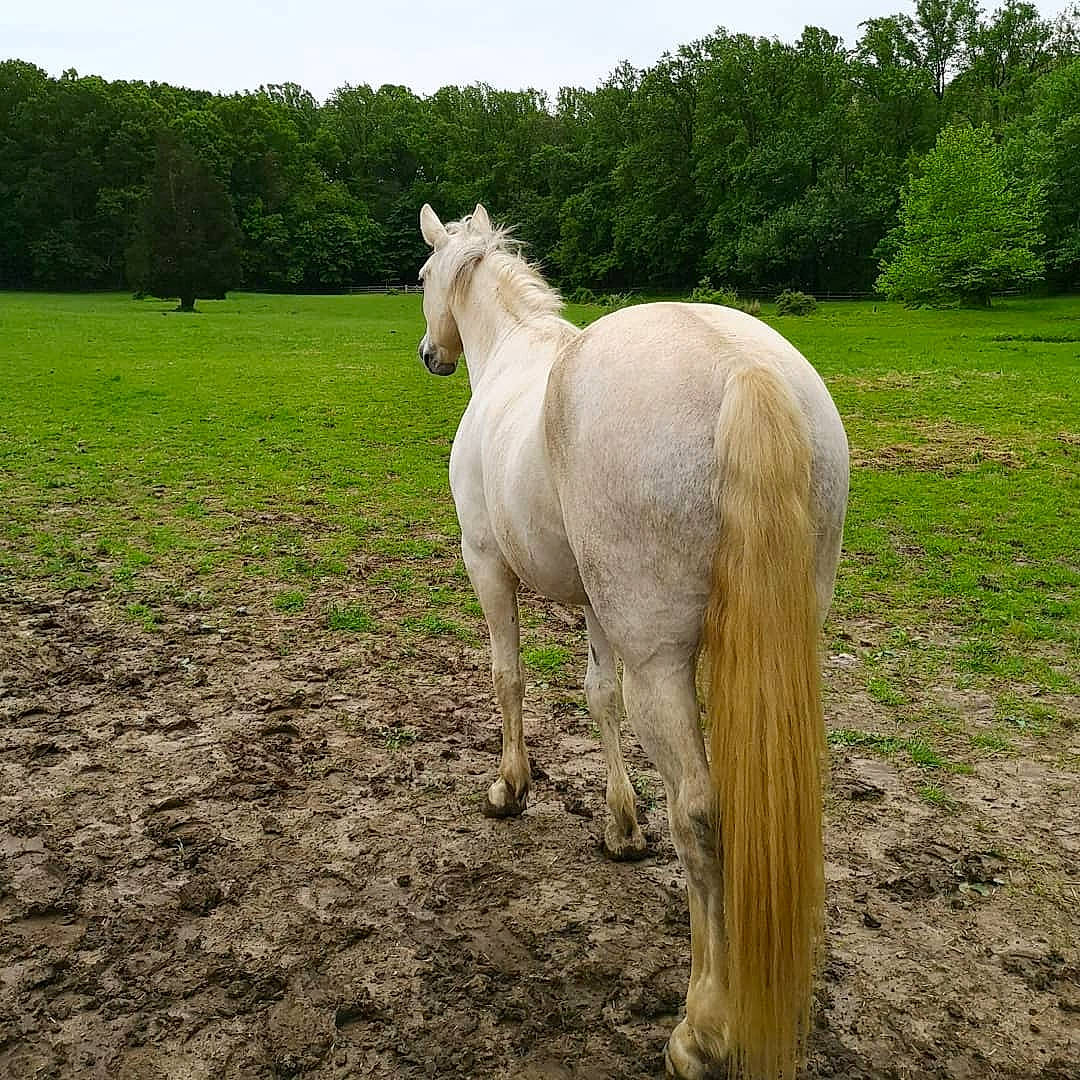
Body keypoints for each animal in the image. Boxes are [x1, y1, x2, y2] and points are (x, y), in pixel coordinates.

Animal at [415, 203, 849, 1080]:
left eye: (421, 278)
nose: (430, 355)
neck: (513, 357)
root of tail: (742, 372)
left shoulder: (486, 565)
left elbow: (508, 677)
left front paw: (510, 788)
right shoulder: (597, 603)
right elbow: (597, 697)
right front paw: (621, 827)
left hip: (663, 663)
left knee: (704, 815)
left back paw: (704, 1028)